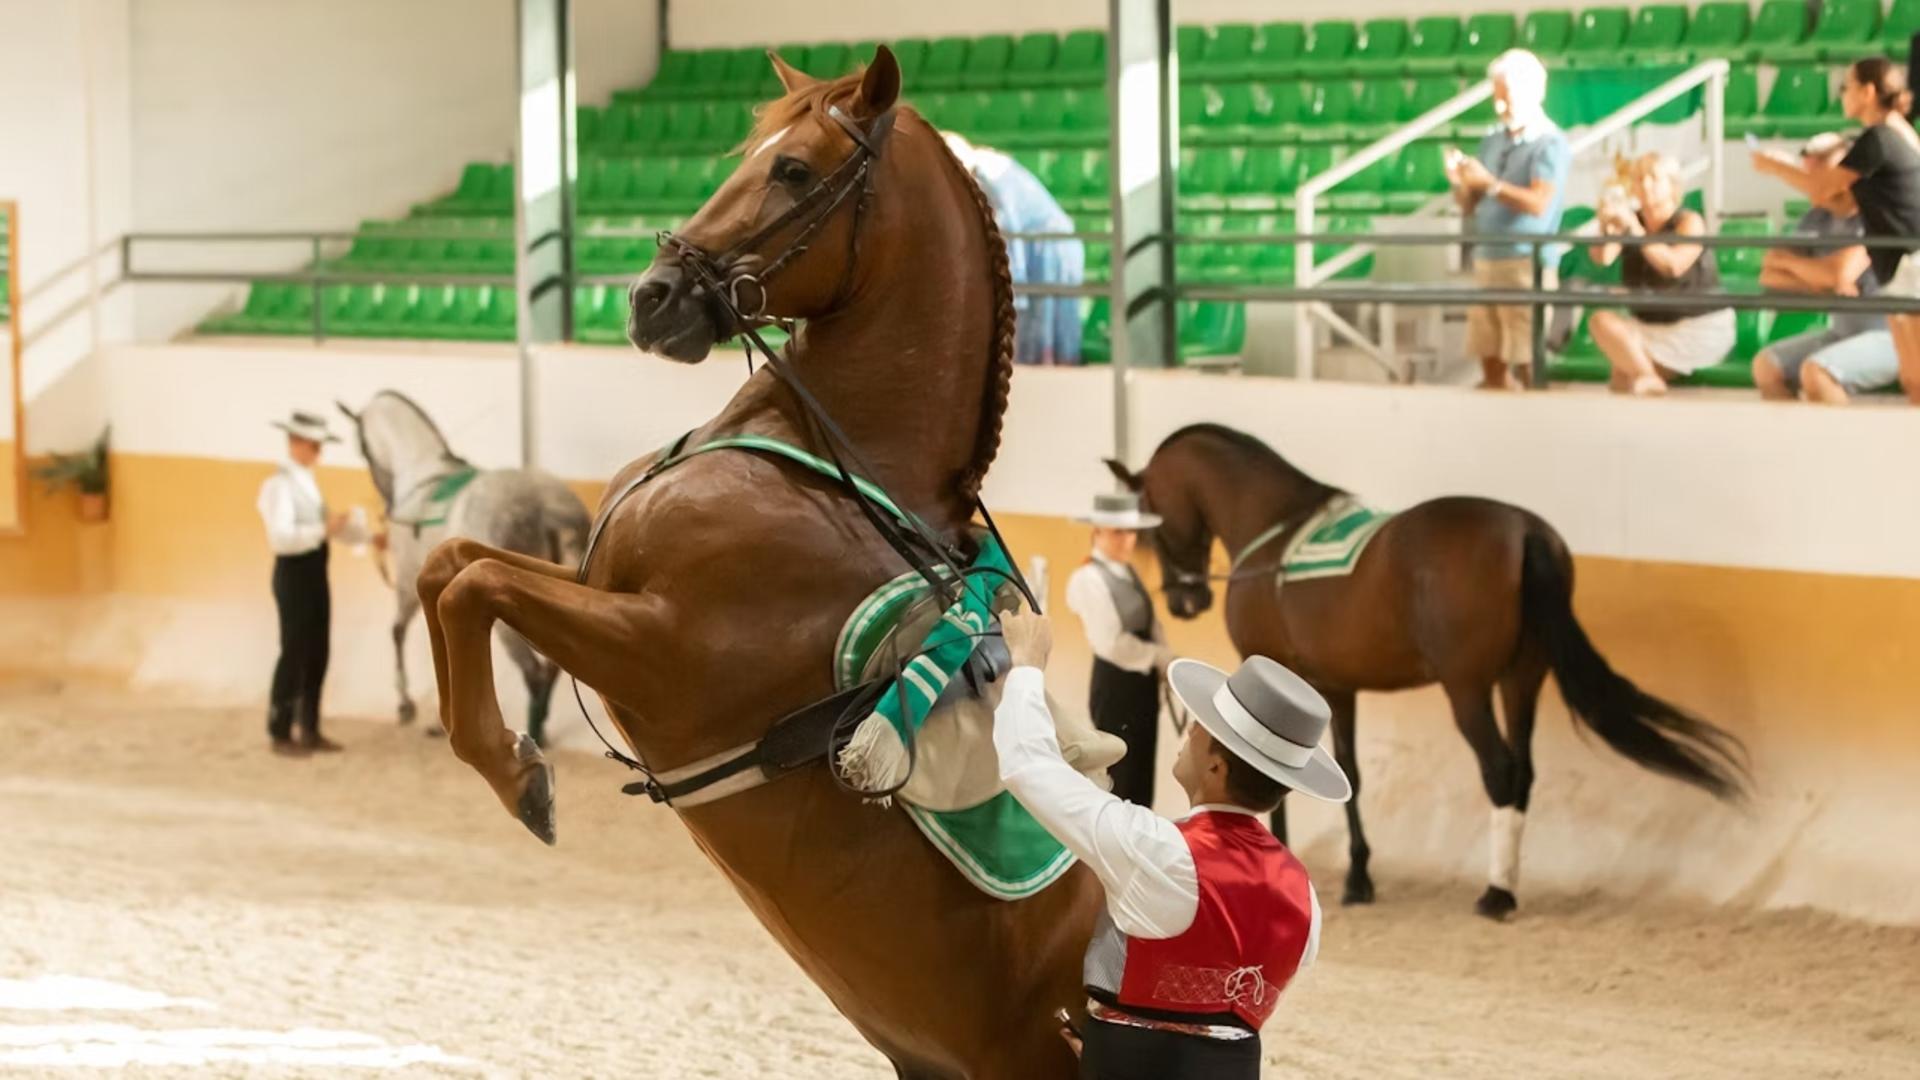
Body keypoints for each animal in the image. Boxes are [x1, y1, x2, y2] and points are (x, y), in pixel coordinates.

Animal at [335, 390, 590, 747]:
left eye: (361, 445)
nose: (386, 502)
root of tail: (548, 509)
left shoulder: (409, 581)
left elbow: (400, 632)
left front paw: (407, 706)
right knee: (553, 668)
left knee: (535, 674)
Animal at [413, 50, 1099, 1078]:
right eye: (748, 154)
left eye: (796, 170)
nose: (650, 296)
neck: (825, 464)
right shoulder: (601, 583)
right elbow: (448, 564)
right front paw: (506, 761)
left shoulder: (664, 648)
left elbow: (479, 585)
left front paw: (517, 775)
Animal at [1107, 424, 1749, 920]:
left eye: (1154, 519)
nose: (1185, 600)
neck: (1274, 527)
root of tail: (1525, 531)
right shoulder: (1335, 686)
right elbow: (1351, 775)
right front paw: (1359, 878)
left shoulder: (1276, 670)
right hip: (1522, 680)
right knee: (1523, 771)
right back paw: (1506, 881)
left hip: (1467, 689)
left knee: (1499, 770)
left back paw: (1496, 893)